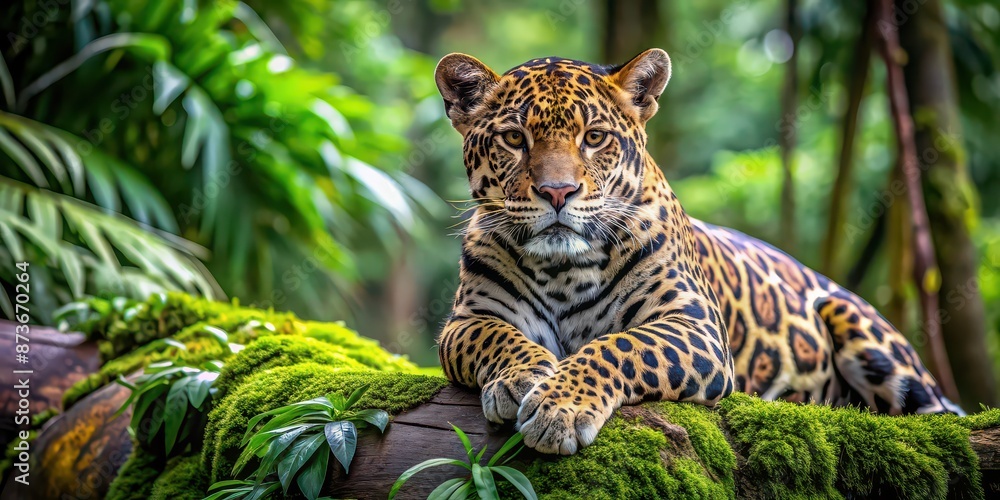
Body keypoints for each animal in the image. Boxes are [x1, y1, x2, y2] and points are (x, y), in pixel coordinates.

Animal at [433, 48, 962, 456]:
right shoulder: (467, 320)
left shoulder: (695, 326)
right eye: (514, 138)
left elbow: (617, 346)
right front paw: (522, 378)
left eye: (595, 137)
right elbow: (497, 336)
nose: (557, 192)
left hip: (866, 333)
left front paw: (558, 406)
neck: (564, 269)